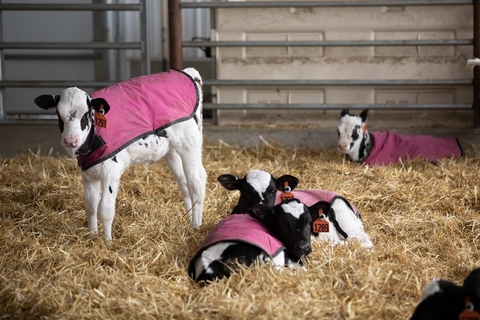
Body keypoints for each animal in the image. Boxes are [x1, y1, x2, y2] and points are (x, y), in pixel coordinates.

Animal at [33, 68, 206, 242]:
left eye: (86, 114)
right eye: (58, 114)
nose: (70, 140)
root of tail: (188, 73)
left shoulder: (111, 172)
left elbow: (105, 210)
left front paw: (108, 242)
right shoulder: (89, 175)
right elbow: (90, 205)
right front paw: (92, 235)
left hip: (189, 143)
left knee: (196, 182)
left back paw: (196, 226)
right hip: (171, 151)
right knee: (184, 182)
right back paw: (189, 219)